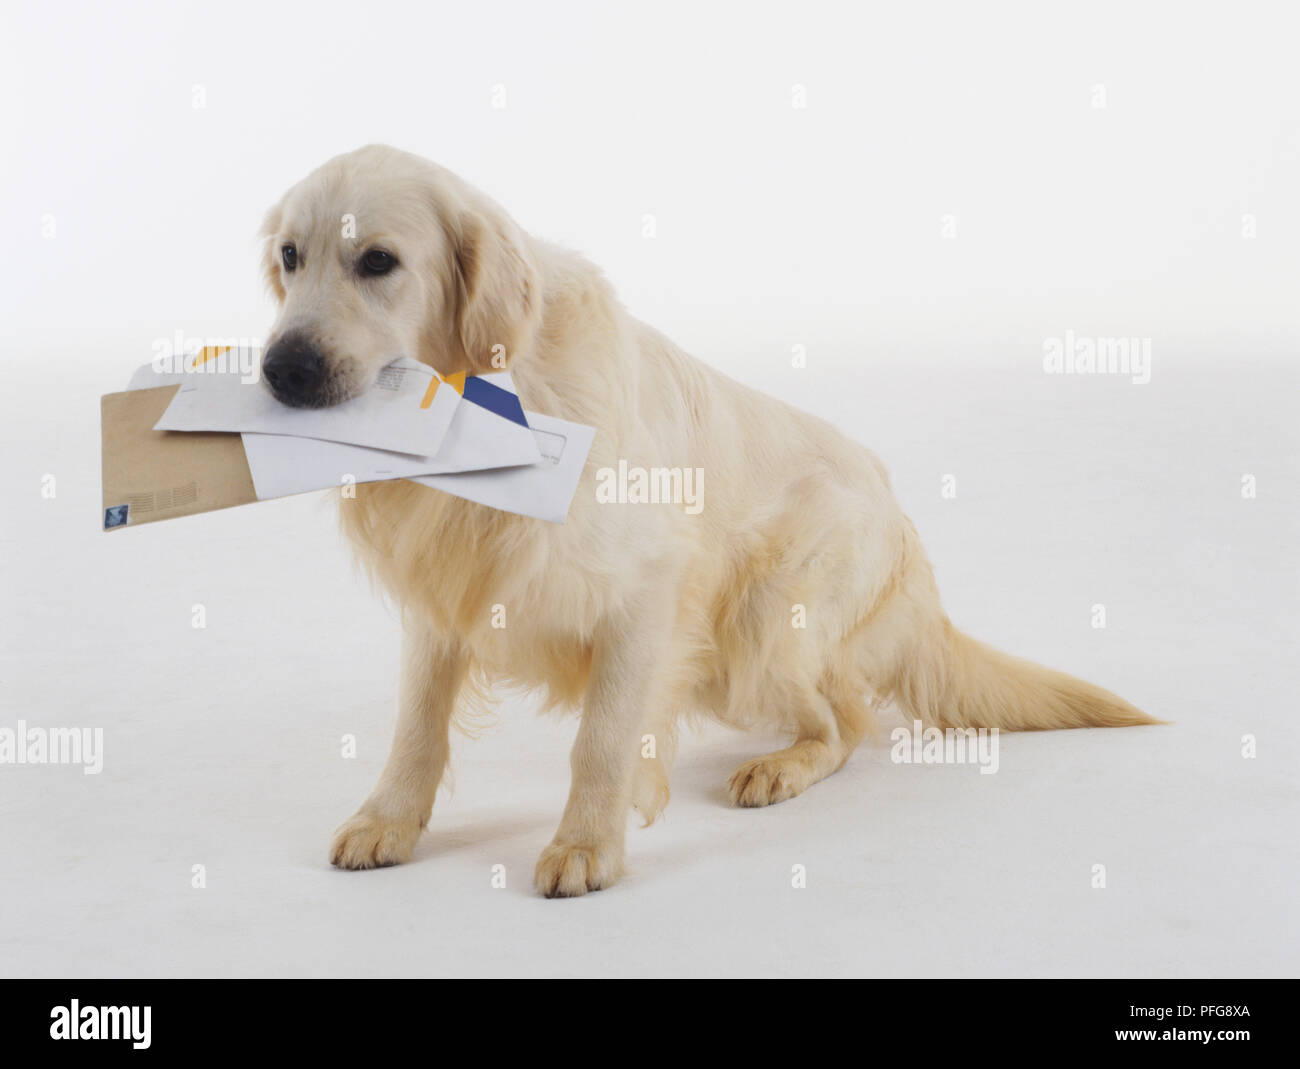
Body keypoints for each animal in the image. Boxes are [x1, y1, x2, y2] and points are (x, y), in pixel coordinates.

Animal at [258, 142, 1154, 894]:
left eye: (378, 261)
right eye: (290, 257)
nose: (280, 369)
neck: (488, 397)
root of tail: (903, 528)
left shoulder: (645, 595)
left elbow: (603, 737)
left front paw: (586, 842)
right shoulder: (444, 598)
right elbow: (416, 726)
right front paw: (387, 820)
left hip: (765, 622)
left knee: (847, 719)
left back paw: (780, 767)